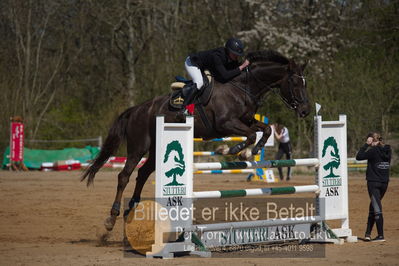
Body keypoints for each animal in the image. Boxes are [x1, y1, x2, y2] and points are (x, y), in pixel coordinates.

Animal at [81, 49, 312, 231]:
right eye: (294, 81)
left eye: (305, 82)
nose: (305, 111)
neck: (242, 87)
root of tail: (137, 109)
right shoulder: (226, 123)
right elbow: (250, 135)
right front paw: (234, 150)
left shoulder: (247, 120)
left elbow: (264, 129)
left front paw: (252, 151)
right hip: (139, 146)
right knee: (124, 176)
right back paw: (112, 217)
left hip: (157, 148)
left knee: (143, 174)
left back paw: (131, 208)